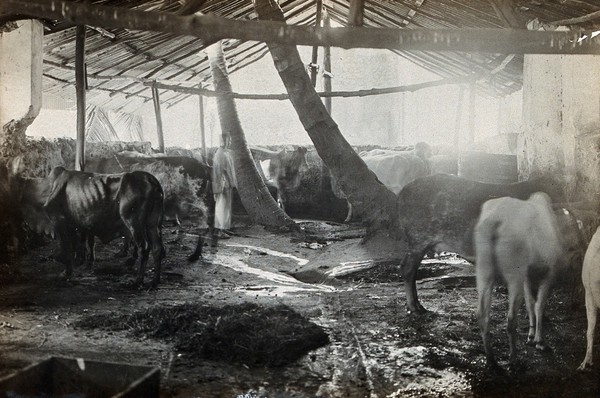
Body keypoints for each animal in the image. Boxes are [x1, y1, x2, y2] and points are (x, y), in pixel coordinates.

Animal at [474, 193, 580, 366]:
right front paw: (539, 341)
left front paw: (530, 337)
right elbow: (539, 306)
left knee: (482, 314)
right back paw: (514, 359)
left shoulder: (527, 277)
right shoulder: (548, 275)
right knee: (511, 319)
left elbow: (530, 304)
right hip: (514, 274)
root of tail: (494, 221)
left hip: (484, 269)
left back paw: (491, 360)